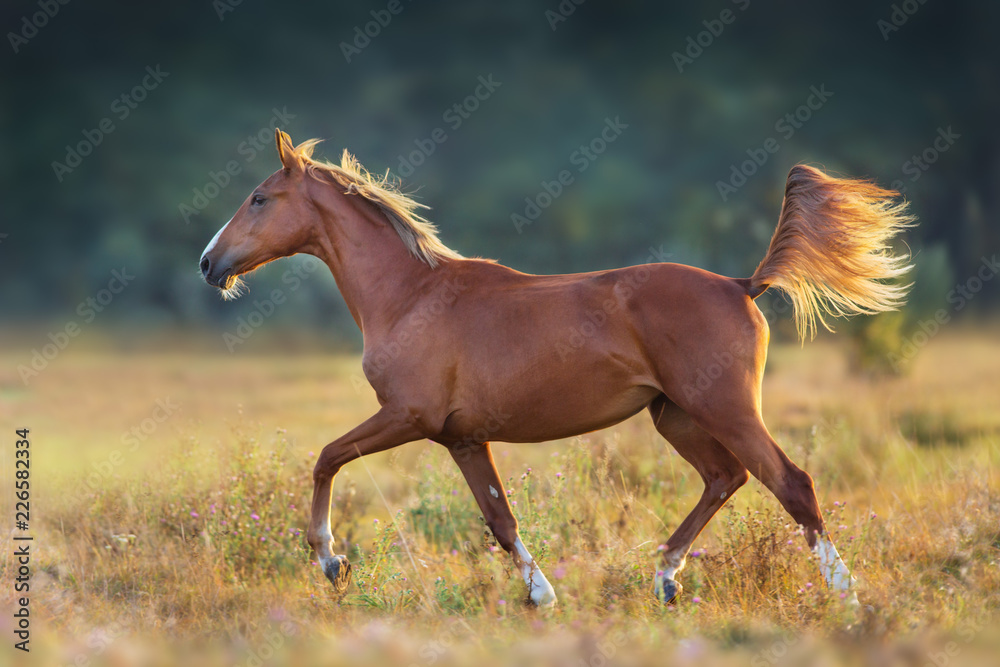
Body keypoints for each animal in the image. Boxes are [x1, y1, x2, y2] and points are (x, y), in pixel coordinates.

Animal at [200, 129, 913, 607]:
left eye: (260, 198)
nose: (210, 263)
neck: (410, 296)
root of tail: (744, 284)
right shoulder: (462, 438)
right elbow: (500, 520)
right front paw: (542, 595)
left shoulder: (406, 416)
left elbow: (325, 458)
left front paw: (331, 561)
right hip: (675, 417)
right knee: (725, 478)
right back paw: (665, 577)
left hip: (725, 409)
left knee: (791, 483)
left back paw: (846, 594)